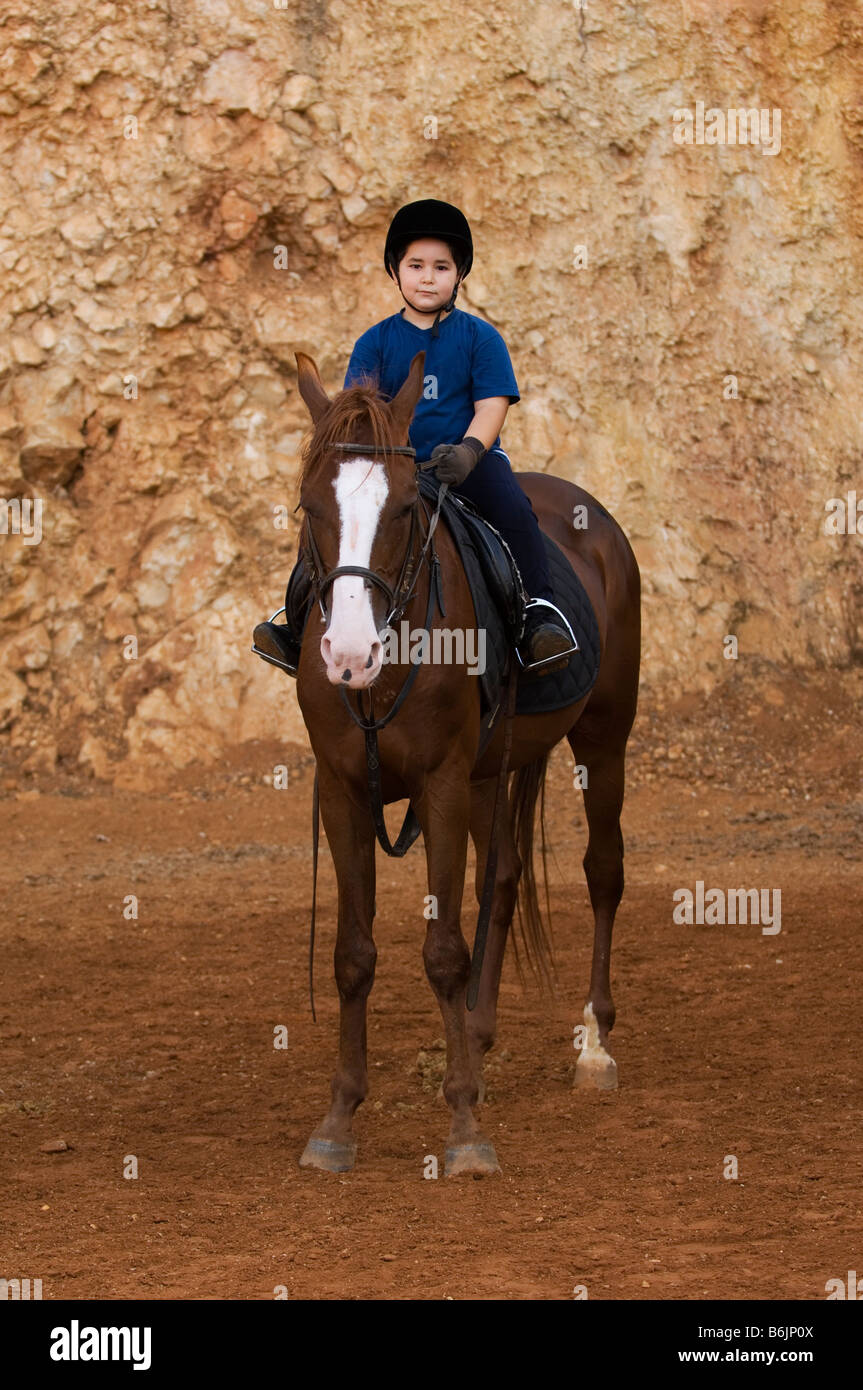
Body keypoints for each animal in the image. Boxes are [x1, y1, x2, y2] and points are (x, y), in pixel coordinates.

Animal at [293, 347, 636, 1173]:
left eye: (402, 511)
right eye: (310, 509)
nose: (348, 654)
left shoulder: (442, 785)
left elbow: (443, 950)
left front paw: (464, 1130)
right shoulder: (341, 791)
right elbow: (353, 955)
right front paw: (338, 1119)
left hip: (603, 736)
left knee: (602, 871)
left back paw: (593, 1044)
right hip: (493, 771)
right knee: (503, 879)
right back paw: (477, 1041)